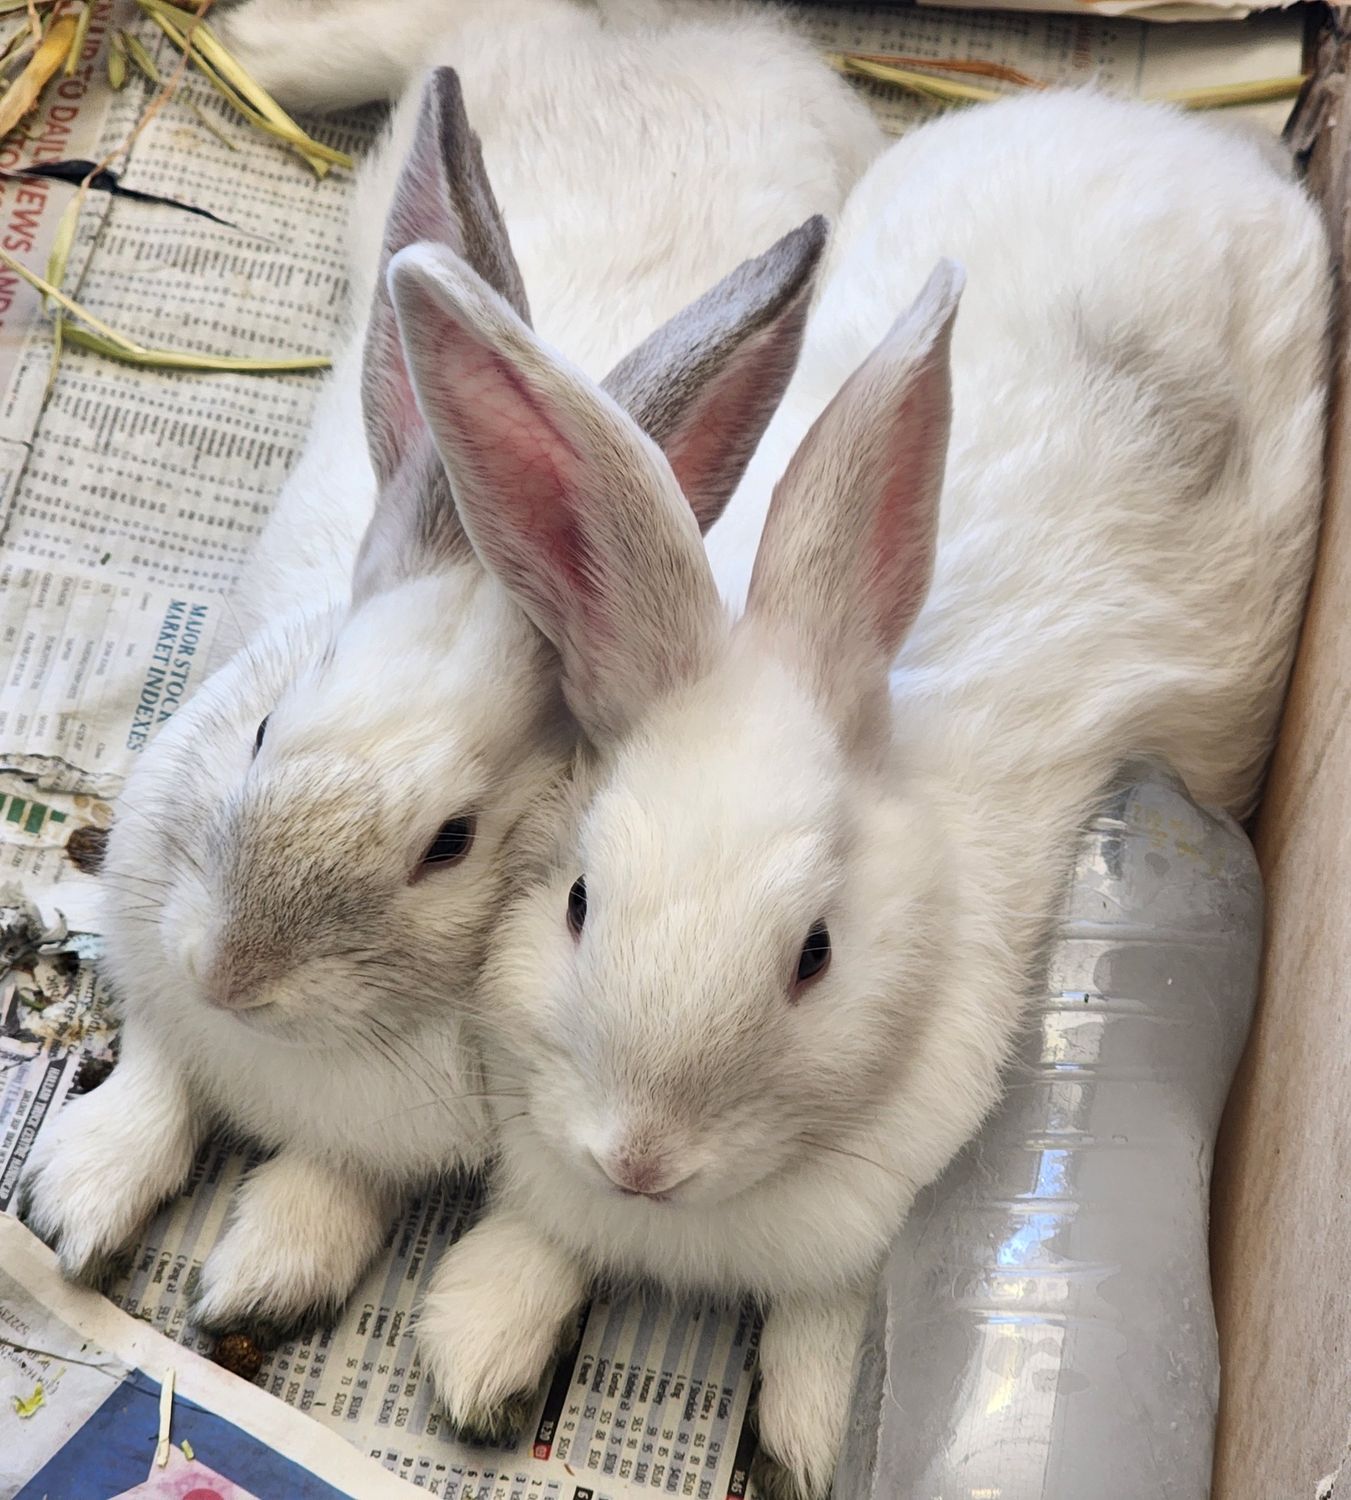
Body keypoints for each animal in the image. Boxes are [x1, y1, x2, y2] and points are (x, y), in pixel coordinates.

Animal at [18, 0, 875, 1340]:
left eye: (451, 846)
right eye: (261, 732)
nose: (232, 972)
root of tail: (664, 33)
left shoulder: (393, 1141)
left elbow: (332, 1182)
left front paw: (261, 1280)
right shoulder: (158, 986)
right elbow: (156, 1079)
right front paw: (79, 1201)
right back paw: (260, 54)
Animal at [383, 90, 1332, 1499]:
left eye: (816, 956)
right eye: (577, 905)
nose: (642, 1161)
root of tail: (1184, 135)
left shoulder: (876, 1227)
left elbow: (828, 1322)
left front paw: (815, 1437)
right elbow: (537, 1233)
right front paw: (477, 1353)